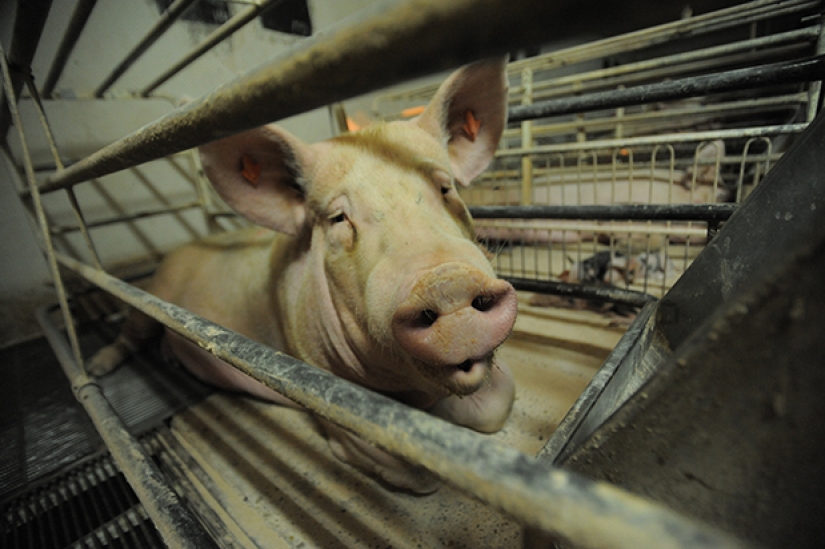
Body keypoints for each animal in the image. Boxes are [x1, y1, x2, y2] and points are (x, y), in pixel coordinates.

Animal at [88, 58, 517, 493]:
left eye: (445, 188)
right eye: (339, 217)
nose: (447, 282)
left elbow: (500, 401)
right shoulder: (322, 386)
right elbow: (415, 473)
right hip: (147, 299)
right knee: (129, 334)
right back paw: (96, 367)